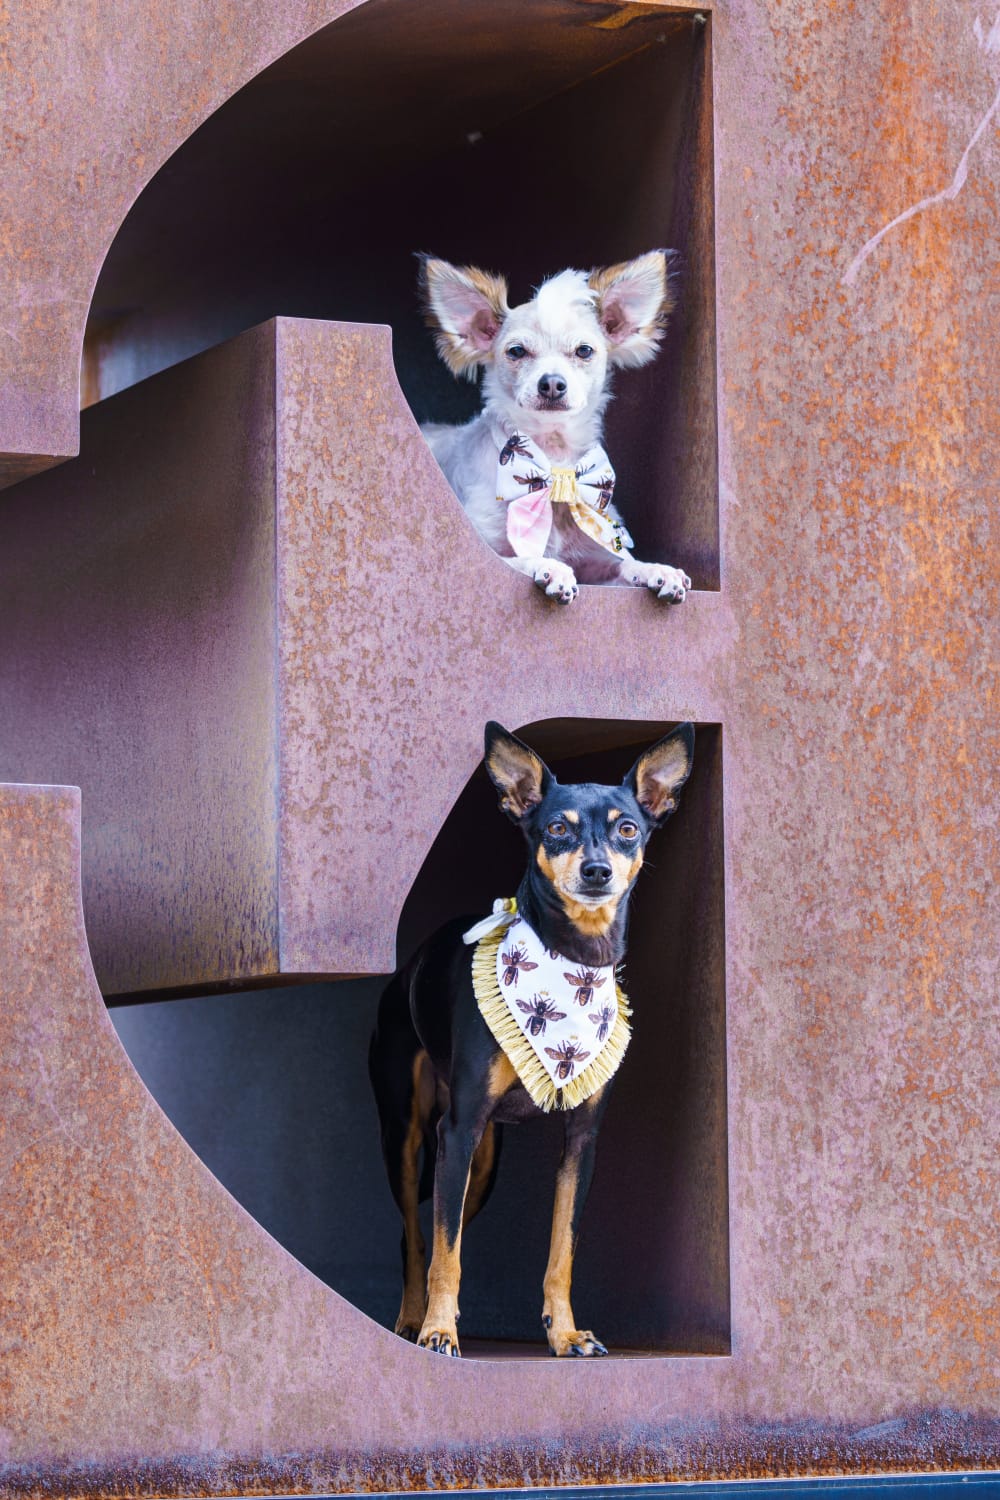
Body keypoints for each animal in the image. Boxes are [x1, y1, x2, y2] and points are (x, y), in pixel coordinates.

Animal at [370, 720, 695, 1356]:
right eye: (556, 828)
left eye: (627, 829)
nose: (596, 871)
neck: (574, 960)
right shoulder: (457, 1129)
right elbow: (446, 1253)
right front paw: (440, 1331)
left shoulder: (580, 1143)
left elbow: (560, 1251)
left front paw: (564, 1333)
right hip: (410, 1135)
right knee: (416, 1236)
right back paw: (412, 1319)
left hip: (482, 1162)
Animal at [419, 255, 692, 606]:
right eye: (517, 351)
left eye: (584, 351)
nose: (551, 383)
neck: (554, 458)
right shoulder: (483, 553)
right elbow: (521, 558)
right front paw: (552, 567)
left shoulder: (599, 560)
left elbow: (625, 565)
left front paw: (656, 569)